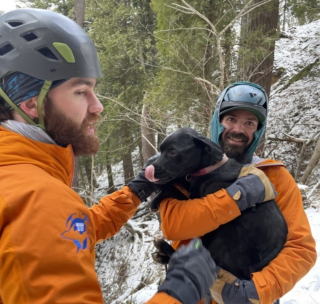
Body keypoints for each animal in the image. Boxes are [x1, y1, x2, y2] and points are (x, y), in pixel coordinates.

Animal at [145, 126, 288, 280]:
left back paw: (164, 249)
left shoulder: (198, 200)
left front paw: (156, 198)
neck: (210, 168)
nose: (148, 169)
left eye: (173, 152)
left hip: (228, 231)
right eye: (161, 150)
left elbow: (175, 190)